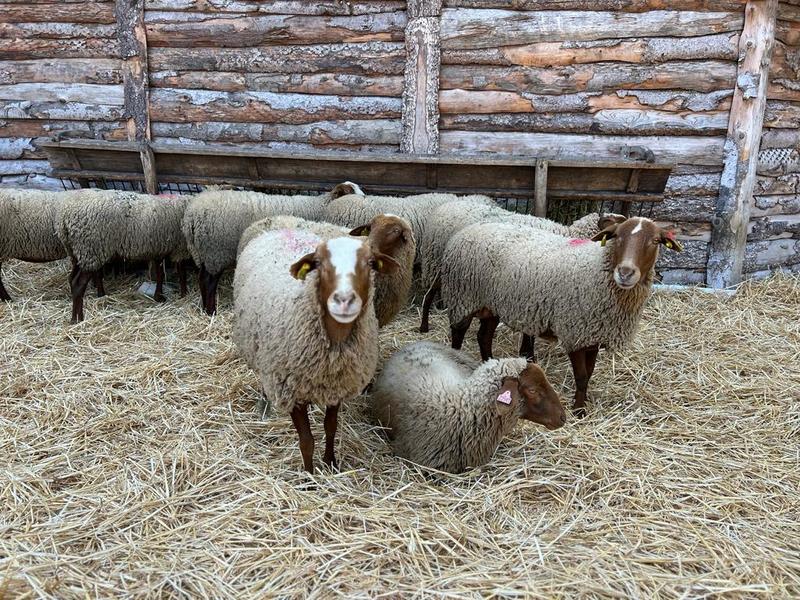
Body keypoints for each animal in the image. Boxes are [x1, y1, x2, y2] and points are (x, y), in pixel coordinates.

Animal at [58, 189, 191, 323]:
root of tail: (65, 221)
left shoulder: (159, 250)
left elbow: (160, 275)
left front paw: (159, 297)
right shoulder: (180, 249)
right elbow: (182, 274)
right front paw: (184, 295)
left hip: (78, 254)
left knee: (71, 279)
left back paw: (75, 317)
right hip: (91, 251)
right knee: (78, 284)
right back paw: (78, 319)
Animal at [232, 229, 399, 472]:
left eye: (370, 263)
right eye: (318, 263)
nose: (344, 300)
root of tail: (280, 229)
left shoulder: (336, 387)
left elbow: (331, 427)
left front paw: (331, 463)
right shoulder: (291, 391)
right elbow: (306, 440)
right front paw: (309, 475)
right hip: (261, 351)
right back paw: (264, 405)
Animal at [440, 216, 684, 416]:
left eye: (655, 241)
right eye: (617, 236)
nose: (625, 272)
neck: (598, 269)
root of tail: (469, 228)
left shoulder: (592, 334)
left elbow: (590, 373)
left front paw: (583, 402)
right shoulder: (574, 331)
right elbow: (582, 375)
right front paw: (579, 411)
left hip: (491, 305)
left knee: (484, 337)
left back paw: (490, 364)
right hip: (463, 296)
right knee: (459, 332)